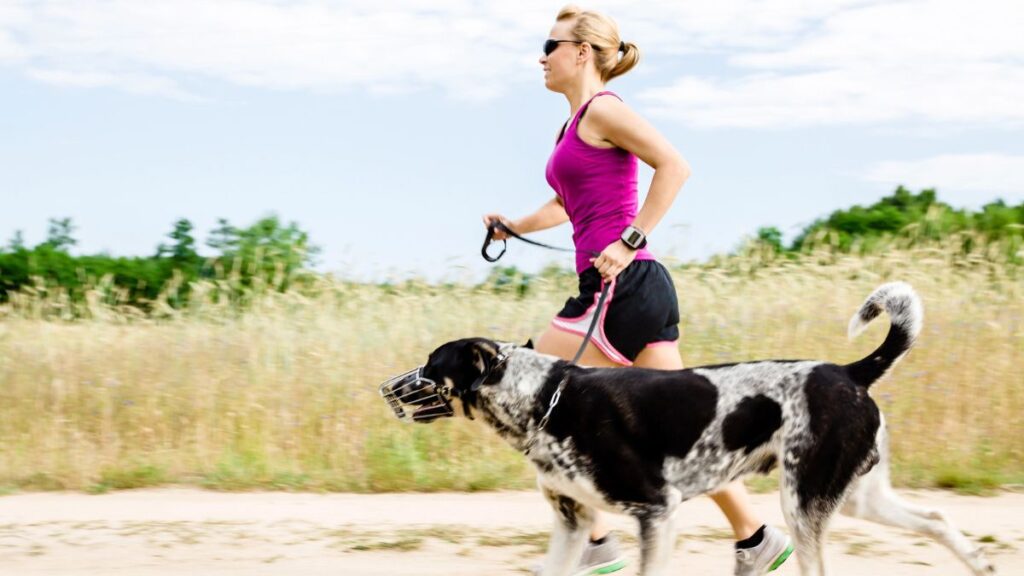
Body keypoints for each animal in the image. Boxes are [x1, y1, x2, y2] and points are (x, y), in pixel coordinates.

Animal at [382, 282, 991, 573]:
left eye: (432, 364)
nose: (387, 388)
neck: (545, 398)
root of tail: (848, 370)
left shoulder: (656, 510)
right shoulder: (572, 523)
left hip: (804, 504)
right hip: (857, 495)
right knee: (937, 519)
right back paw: (980, 564)